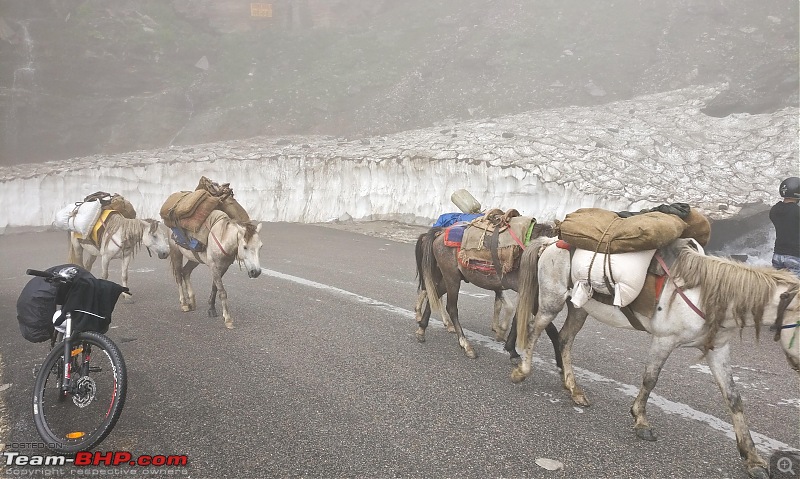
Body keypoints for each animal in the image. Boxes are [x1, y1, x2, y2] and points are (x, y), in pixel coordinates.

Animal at [418, 224, 564, 364]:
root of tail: (441, 232)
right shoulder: (532, 296)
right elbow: (551, 329)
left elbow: (517, 319)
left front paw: (511, 350)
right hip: (452, 278)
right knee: (451, 308)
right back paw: (466, 345)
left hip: (452, 277)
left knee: (434, 294)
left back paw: (422, 330)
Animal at [512, 237, 800, 479]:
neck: (705, 294)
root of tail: (551, 242)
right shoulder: (664, 340)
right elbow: (650, 379)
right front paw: (640, 420)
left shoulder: (717, 349)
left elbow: (734, 399)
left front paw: (752, 457)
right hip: (551, 303)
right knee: (533, 330)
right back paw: (522, 371)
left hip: (579, 308)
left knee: (564, 340)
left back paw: (574, 390)